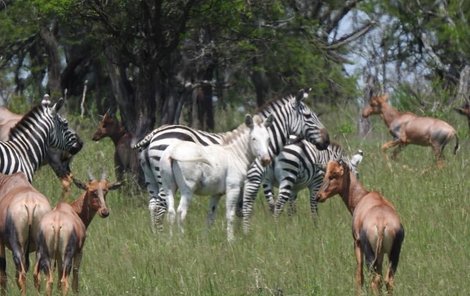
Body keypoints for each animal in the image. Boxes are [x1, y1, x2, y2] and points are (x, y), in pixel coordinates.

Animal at [133, 88, 330, 234]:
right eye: (308, 116)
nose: (327, 141)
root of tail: (154, 133)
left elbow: (239, 210)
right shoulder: (253, 178)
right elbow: (247, 208)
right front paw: (246, 235)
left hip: (151, 178)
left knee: (152, 205)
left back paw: (156, 238)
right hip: (165, 179)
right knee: (159, 208)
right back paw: (162, 239)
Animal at [318, 161, 406, 294]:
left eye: (333, 174)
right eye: (326, 173)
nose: (318, 196)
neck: (364, 197)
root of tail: (381, 223)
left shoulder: (357, 243)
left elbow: (359, 276)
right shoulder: (380, 254)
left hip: (370, 252)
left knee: (375, 280)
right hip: (393, 252)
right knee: (387, 280)